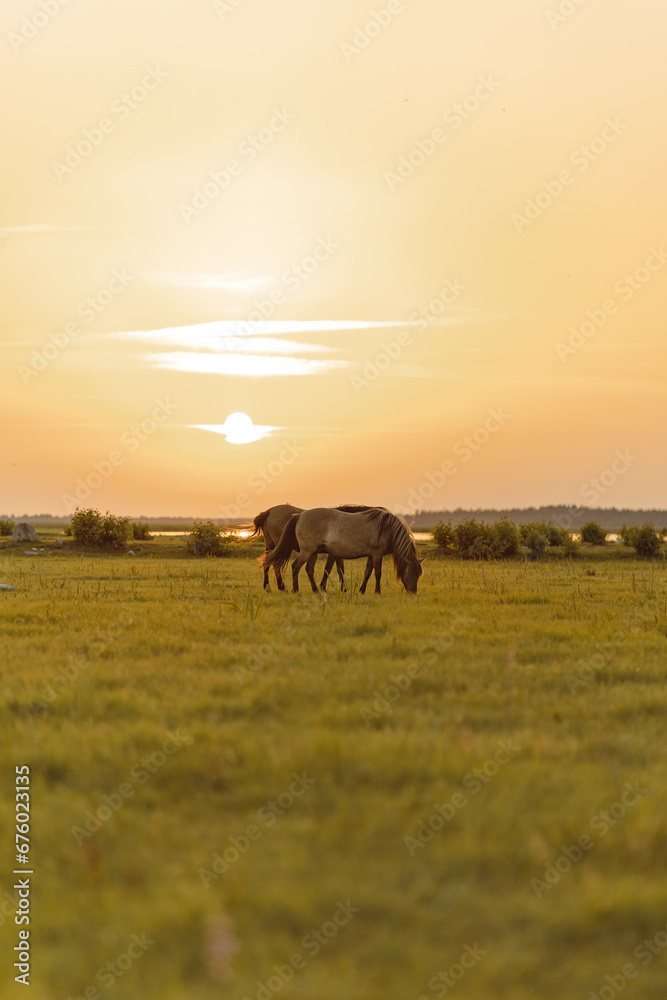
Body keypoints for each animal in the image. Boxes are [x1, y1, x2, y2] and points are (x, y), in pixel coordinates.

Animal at [248, 504, 380, 588]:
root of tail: (269, 511)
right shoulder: (333, 553)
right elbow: (330, 569)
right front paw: (325, 587)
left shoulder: (338, 553)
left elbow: (340, 569)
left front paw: (343, 588)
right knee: (276, 564)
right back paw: (282, 587)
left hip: (270, 545)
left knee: (267, 562)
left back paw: (268, 587)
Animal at [260, 508, 422, 592]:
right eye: (411, 572)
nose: (413, 592)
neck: (386, 529)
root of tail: (299, 515)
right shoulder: (377, 554)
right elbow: (377, 573)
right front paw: (378, 591)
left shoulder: (372, 555)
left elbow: (367, 572)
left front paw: (362, 590)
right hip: (307, 551)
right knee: (295, 566)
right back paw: (295, 589)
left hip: (313, 552)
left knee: (308, 570)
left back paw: (315, 590)